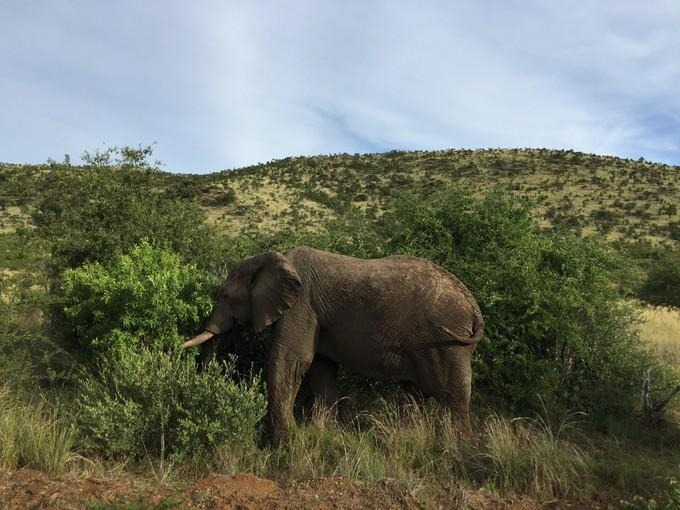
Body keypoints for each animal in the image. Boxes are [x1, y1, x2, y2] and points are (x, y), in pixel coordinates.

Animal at [185, 246, 484, 438]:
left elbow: (291, 361)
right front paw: (319, 436)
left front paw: (286, 442)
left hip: (446, 342)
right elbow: (321, 371)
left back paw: (459, 453)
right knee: (415, 395)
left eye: (224, 296)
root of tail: (473, 305)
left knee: (453, 397)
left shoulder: (301, 307)